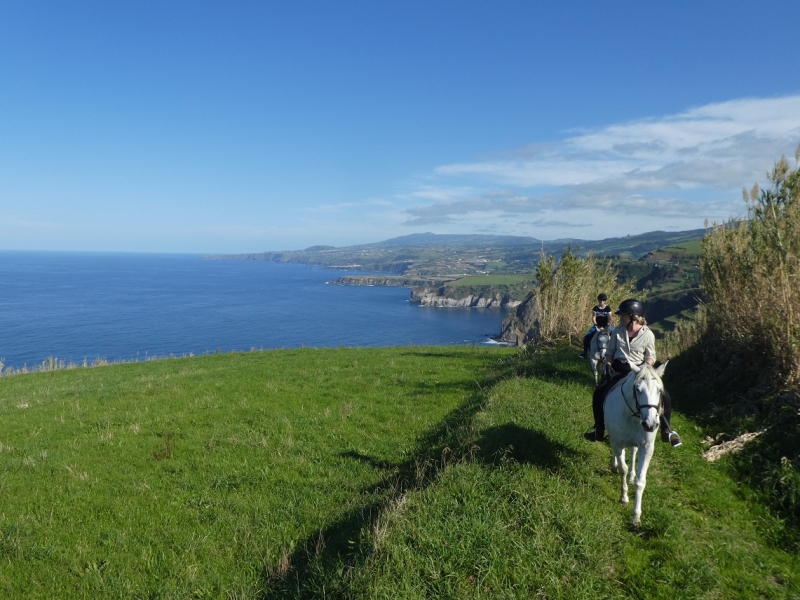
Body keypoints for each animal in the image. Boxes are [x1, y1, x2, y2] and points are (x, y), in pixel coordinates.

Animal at [604, 360, 664, 524]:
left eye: (659, 391)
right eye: (637, 389)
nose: (650, 424)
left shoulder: (647, 447)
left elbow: (640, 481)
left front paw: (636, 517)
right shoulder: (618, 443)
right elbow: (622, 469)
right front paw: (624, 497)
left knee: (633, 451)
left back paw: (631, 475)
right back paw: (615, 466)